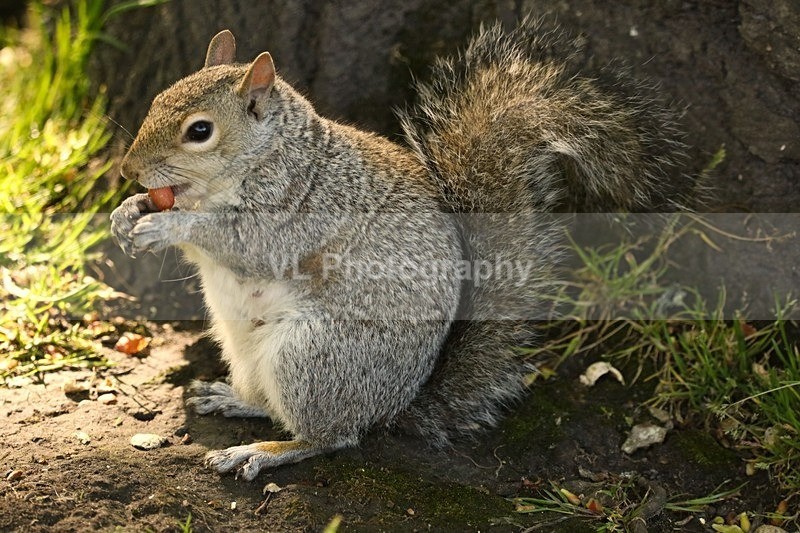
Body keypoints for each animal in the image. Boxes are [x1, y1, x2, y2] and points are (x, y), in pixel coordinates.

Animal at [110, 19, 696, 480]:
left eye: (199, 131)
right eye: (158, 99)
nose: (128, 169)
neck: (268, 155)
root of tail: (394, 403)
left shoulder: (300, 210)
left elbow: (243, 244)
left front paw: (167, 226)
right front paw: (129, 212)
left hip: (314, 357)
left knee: (331, 435)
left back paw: (265, 452)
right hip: (249, 350)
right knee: (271, 404)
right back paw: (231, 399)